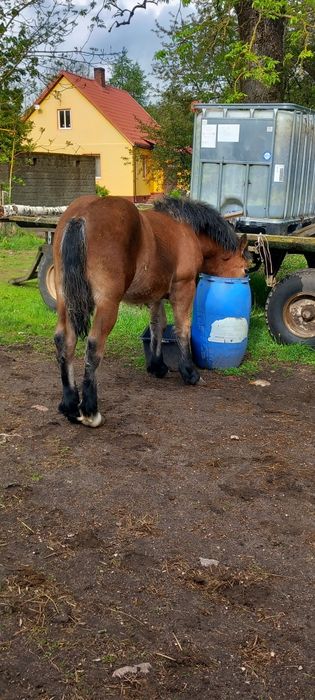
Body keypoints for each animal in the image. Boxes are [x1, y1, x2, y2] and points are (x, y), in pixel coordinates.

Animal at [53, 196, 251, 426]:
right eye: (245, 268)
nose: (244, 279)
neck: (185, 228)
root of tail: (80, 216)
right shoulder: (184, 287)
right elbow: (183, 328)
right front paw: (190, 373)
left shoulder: (155, 295)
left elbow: (158, 325)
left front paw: (157, 366)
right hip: (107, 303)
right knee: (94, 346)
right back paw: (90, 411)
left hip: (65, 300)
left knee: (64, 341)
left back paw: (70, 406)